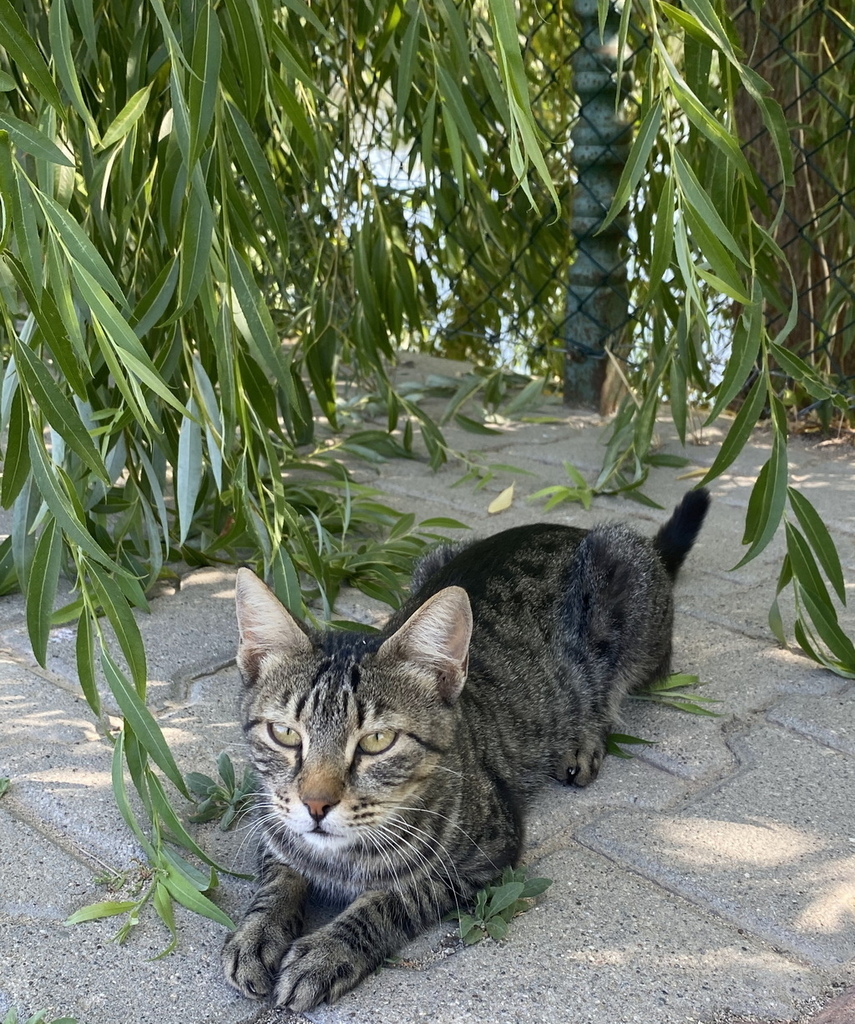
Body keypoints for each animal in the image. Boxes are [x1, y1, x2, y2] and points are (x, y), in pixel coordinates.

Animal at [221, 487, 708, 1007]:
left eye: (377, 741)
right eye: (286, 734)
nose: (316, 805)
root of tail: (574, 528)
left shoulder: (487, 852)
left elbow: (395, 898)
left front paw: (327, 951)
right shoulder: (273, 824)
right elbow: (278, 877)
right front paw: (257, 933)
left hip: (628, 595)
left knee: (614, 692)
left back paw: (582, 738)